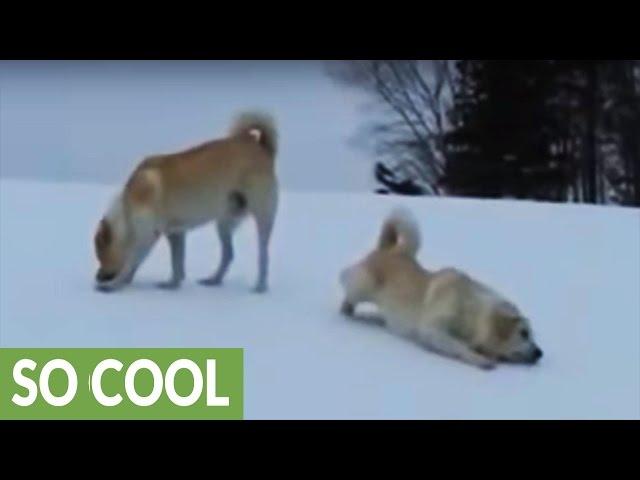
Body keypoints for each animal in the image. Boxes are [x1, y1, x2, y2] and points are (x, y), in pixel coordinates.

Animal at [94, 111, 278, 292]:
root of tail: (260, 148)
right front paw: (172, 283)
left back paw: (260, 286)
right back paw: (214, 280)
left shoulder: (147, 236)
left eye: (101, 256)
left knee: (263, 254)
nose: (97, 276)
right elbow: (177, 262)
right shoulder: (175, 233)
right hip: (224, 223)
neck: (127, 210)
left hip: (262, 217)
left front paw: (115, 284)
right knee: (228, 254)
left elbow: (132, 262)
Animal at [338, 208, 544, 370]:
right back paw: (347, 310)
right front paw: (479, 359)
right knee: (346, 284)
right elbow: (459, 345)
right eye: (524, 333)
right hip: (362, 285)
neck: (472, 312)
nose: (539, 353)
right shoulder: (433, 329)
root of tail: (390, 249)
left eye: (531, 334)